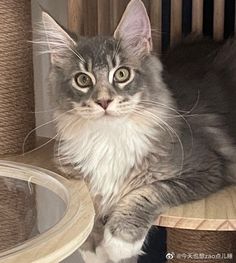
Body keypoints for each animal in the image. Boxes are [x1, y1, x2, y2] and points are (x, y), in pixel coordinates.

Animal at [41, 0, 236, 263]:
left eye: (122, 74)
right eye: (83, 80)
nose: (104, 101)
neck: (109, 138)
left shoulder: (206, 168)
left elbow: (149, 191)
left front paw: (120, 241)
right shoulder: (77, 178)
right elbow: (89, 208)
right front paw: (92, 247)